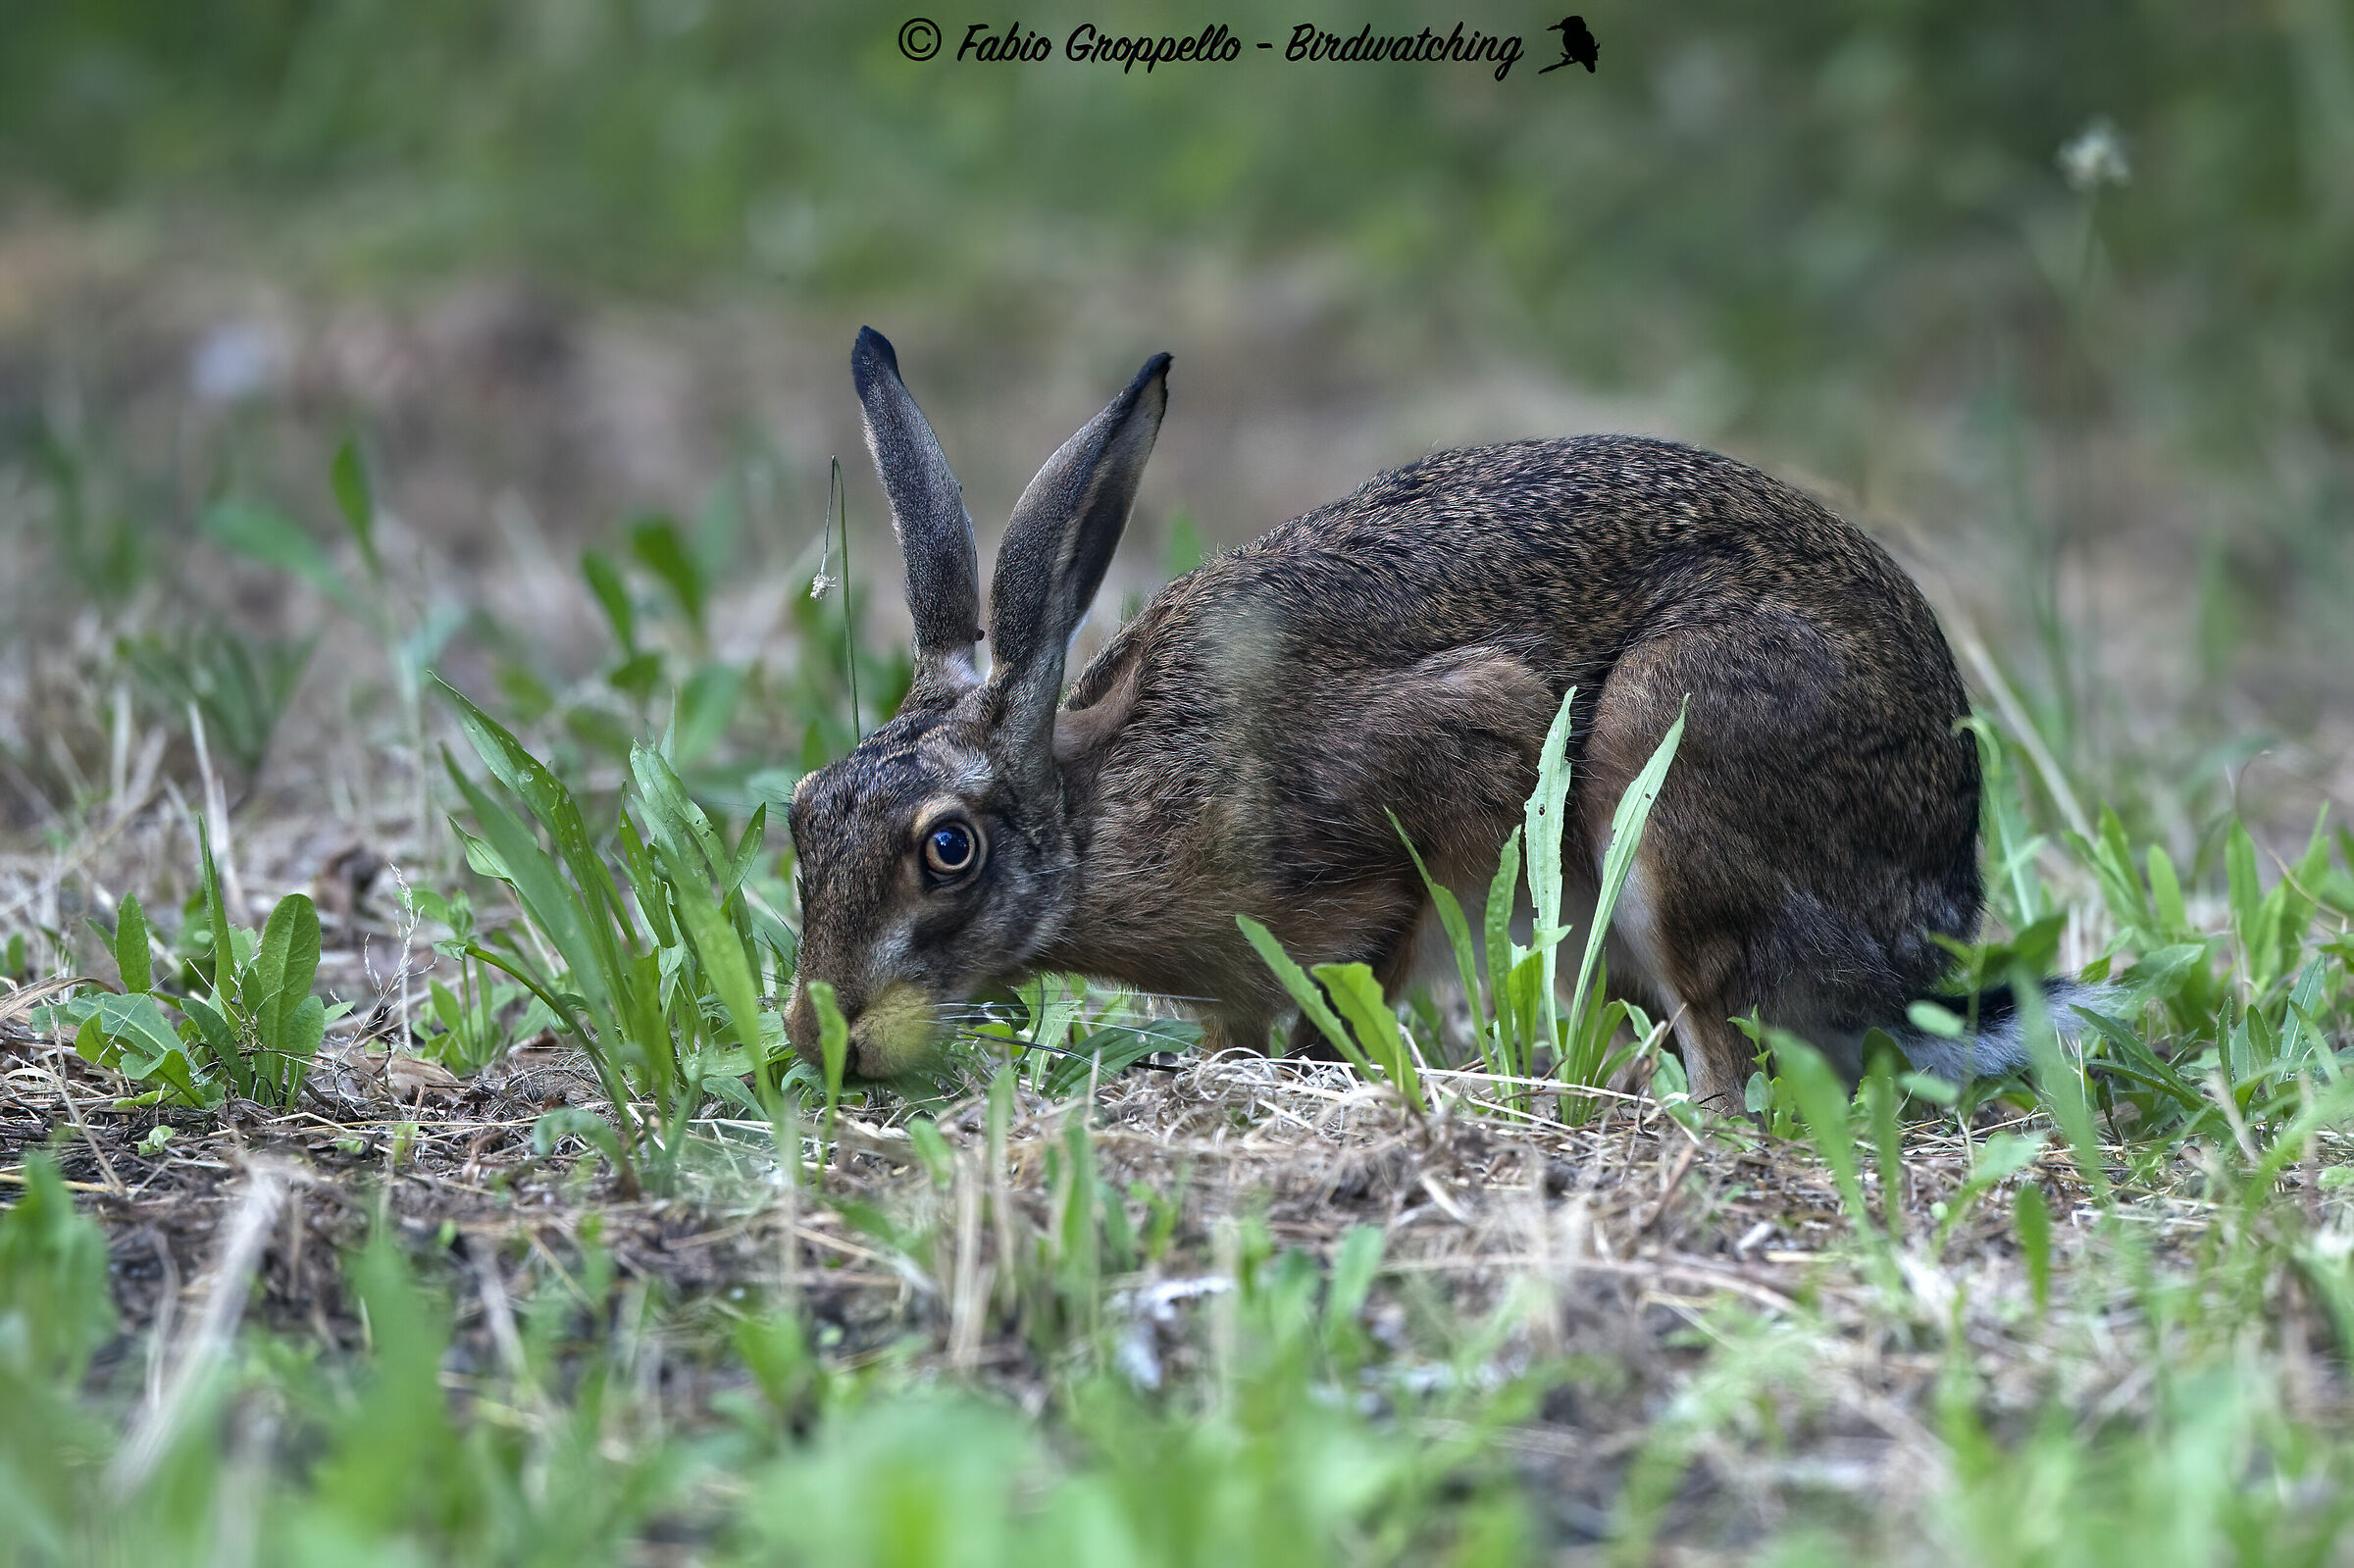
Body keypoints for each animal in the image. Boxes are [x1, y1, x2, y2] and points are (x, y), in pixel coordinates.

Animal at [783, 327, 2089, 1112]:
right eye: (798, 816)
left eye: (949, 849)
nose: (818, 1034)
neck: (1099, 807)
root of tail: (1924, 935)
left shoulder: (1443, 773)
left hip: (1673, 762)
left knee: (1726, 1053)